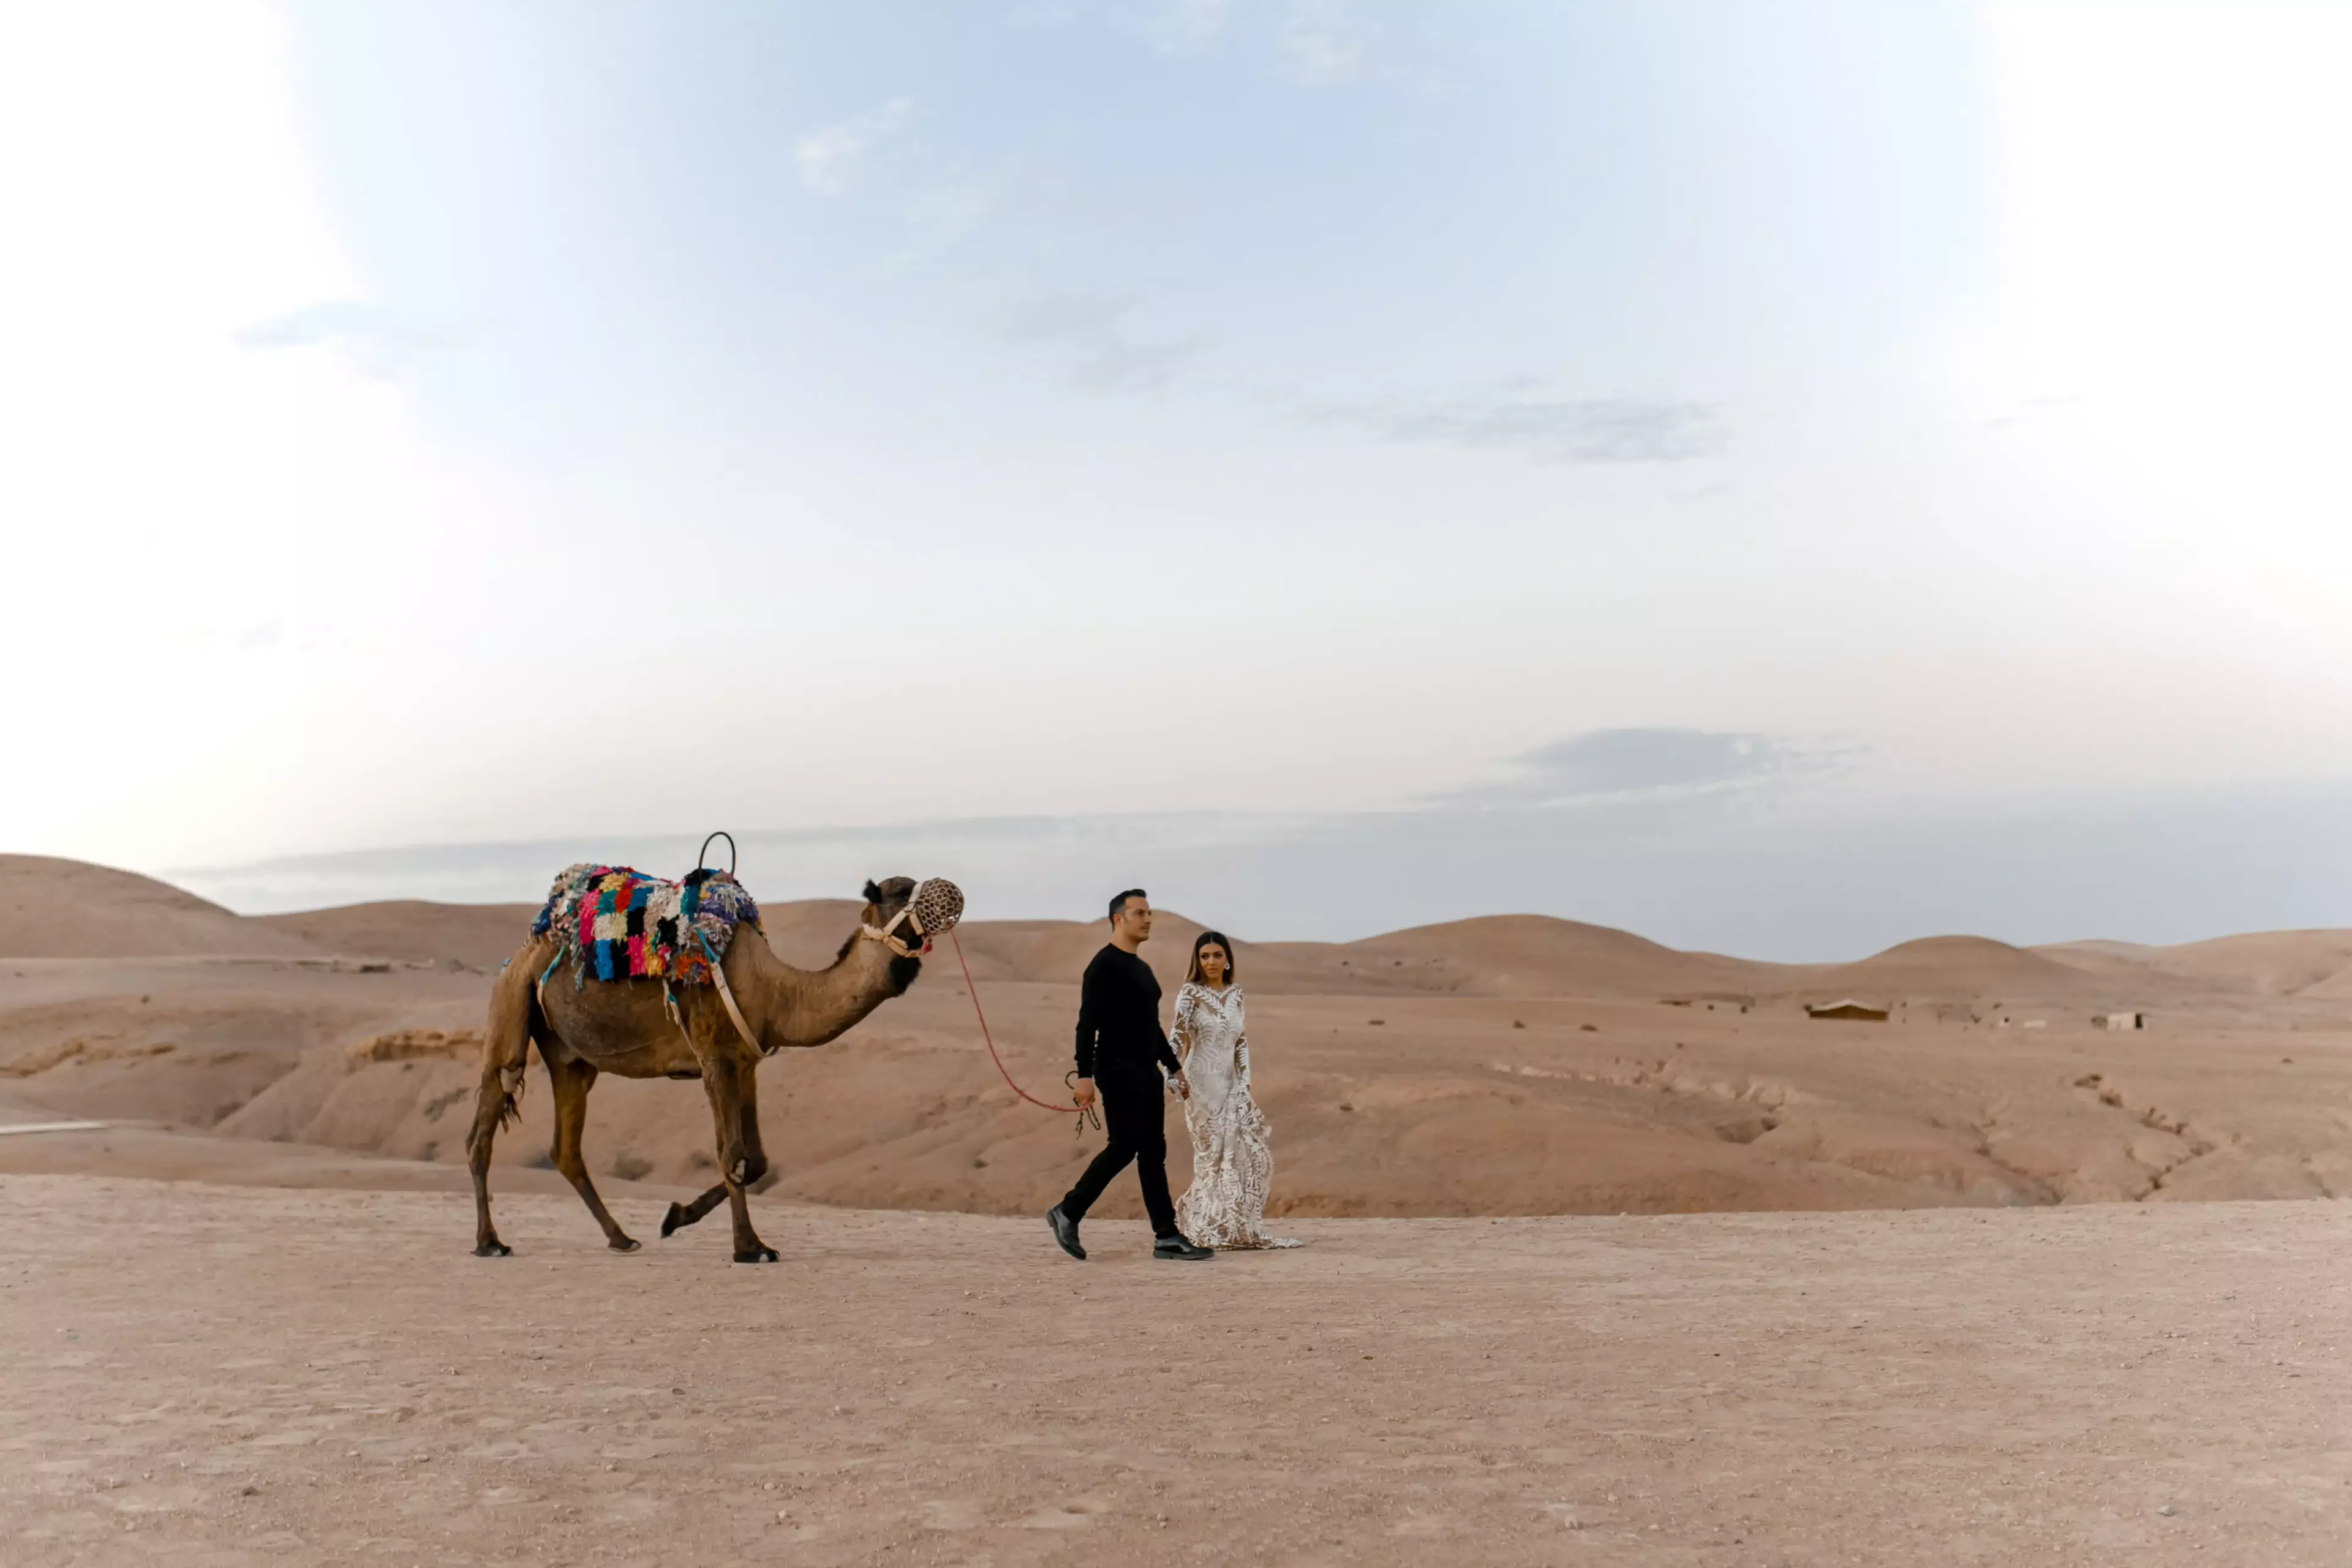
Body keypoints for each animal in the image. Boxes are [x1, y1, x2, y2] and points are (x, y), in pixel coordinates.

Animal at [468, 879, 945, 1269]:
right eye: (900, 891)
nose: (948, 894)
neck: (776, 993)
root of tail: (523, 952)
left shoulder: (746, 1064)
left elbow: (757, 1160)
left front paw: (676, 1217)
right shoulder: (713, 1056)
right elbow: (733, 1157)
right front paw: (750, 1248)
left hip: (571, 1059)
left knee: (565, 1149)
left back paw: (621, 1238)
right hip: (512, 1001)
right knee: (490, 1112)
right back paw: (490, 1242)